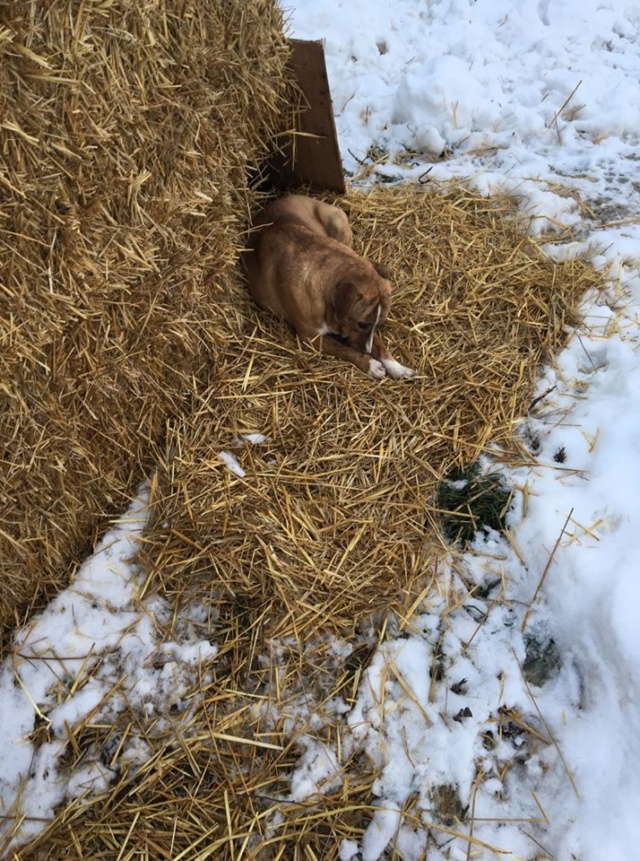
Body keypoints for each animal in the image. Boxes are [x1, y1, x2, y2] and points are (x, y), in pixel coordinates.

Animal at [244, 200, 416, 382]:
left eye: (380, 323)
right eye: (361, 324)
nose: (367, 351)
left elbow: (380, 344)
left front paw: (398, 368)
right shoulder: (310, 338)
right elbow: (344, 349)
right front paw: (370, 364)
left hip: (338, 223)